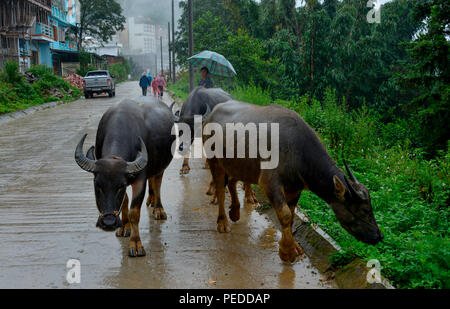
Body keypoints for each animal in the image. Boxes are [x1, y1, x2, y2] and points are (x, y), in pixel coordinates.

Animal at [74, 98, 175, 255]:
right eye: (97, 185)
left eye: (120, 187)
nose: (108, 222)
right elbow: (125, 202)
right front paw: (124, 227)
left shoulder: (139, 180)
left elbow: (135, 212)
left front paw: (136, 244)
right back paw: (151, 201)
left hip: (161, 166)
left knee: (157, 183)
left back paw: (158, 209)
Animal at [204, 100, 384, 262]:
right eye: (365, 210)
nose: (379, 235)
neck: (298, 152)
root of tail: (212, 112)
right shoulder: (269, 183)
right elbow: (284, 214)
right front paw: (287, 251)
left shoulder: (295, 188)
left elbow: (290, 217)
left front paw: (294, 246)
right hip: (215, 161)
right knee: (221, 189)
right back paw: (222, 221)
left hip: (239, 165)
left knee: (232, 182)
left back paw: (235, 211)